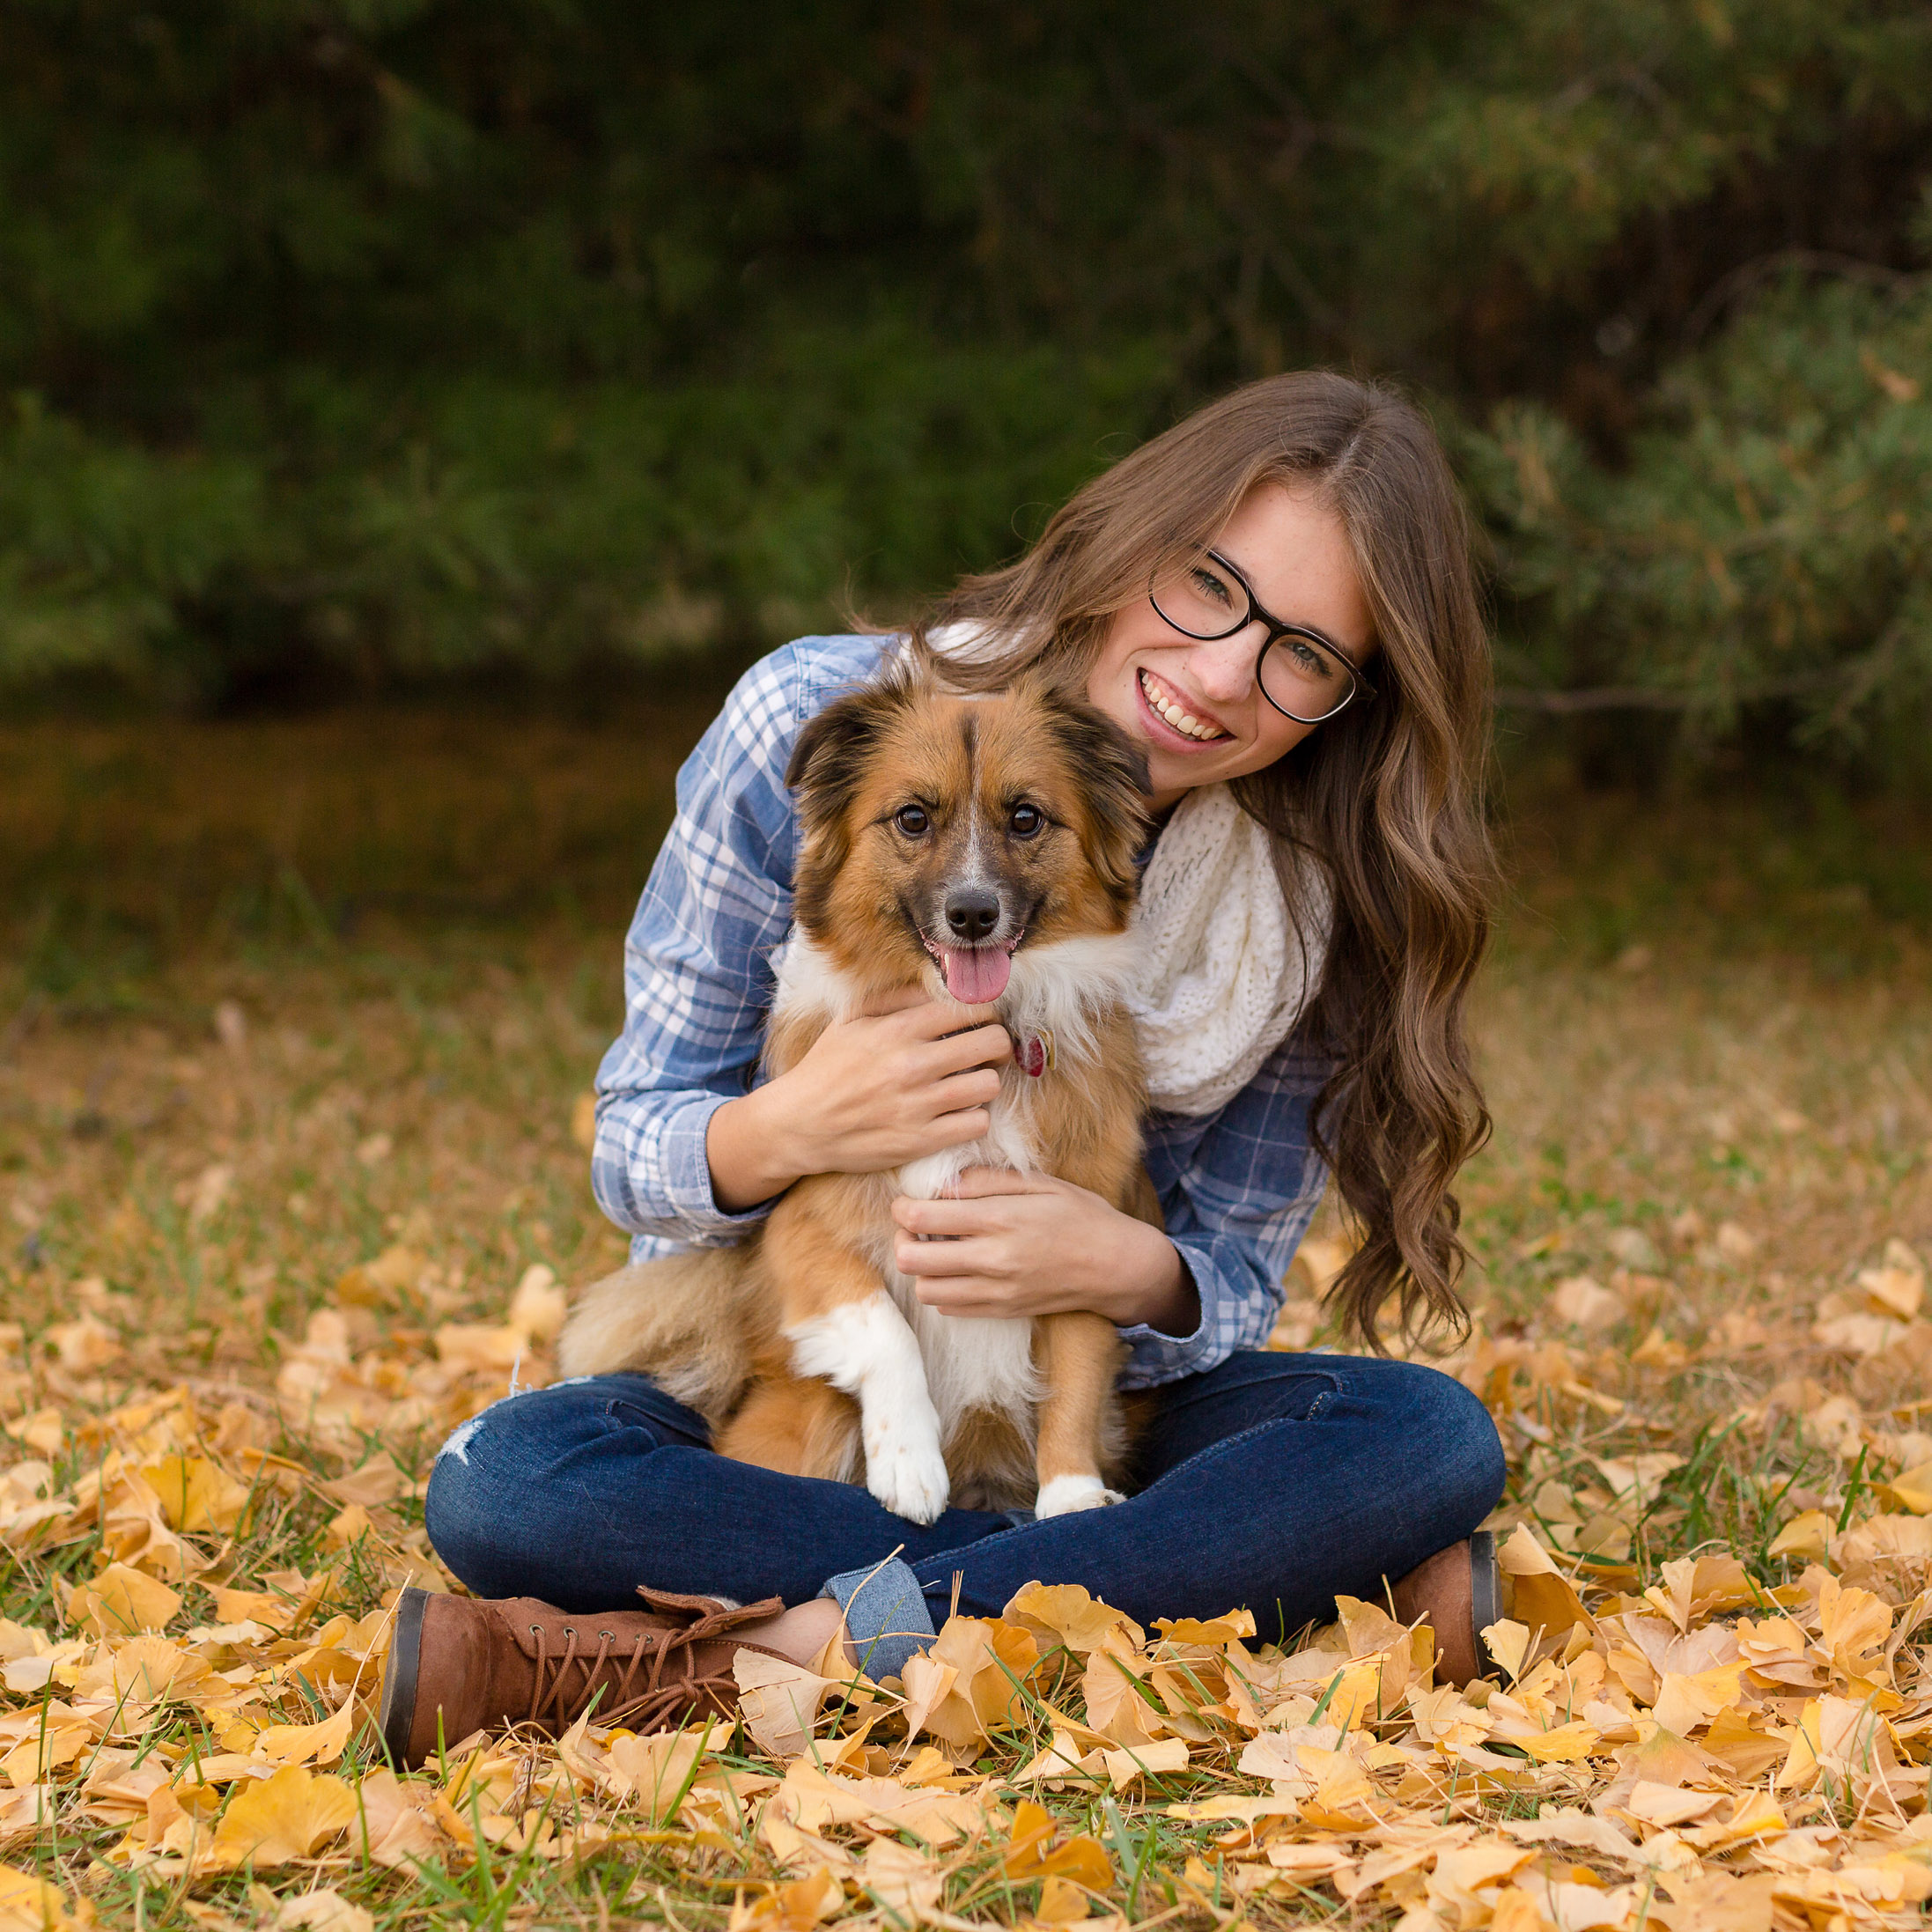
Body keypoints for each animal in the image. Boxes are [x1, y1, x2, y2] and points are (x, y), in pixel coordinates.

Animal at [560, 664, 1159, 1522]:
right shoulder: (805, 1228)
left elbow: (1074, 1382)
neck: (975, 1027)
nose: (971, 914)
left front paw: (1073, 1497)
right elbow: (884, 1330)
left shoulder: (1082, 1242)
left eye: (1025, 818)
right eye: (912, 818)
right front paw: (909, 1462)